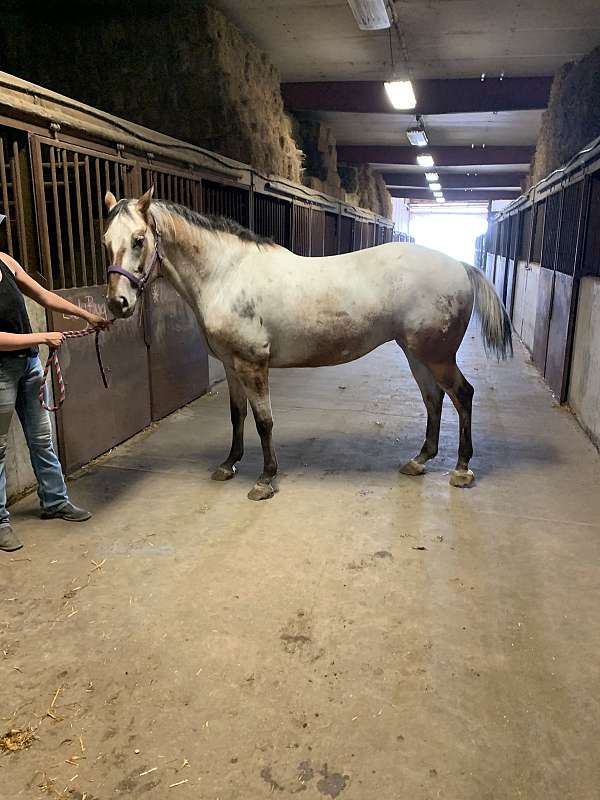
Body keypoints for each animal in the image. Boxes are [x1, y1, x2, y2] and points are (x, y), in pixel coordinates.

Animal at [102, 188, 510, 500]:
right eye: (107, 242)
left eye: (139, 240)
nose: (117, 303)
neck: (226, 274)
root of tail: (459, 266)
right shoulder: (231, 365)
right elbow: (237, 415)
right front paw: (228, 464)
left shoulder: (253, 364)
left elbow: (264, 420)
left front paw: (265, 479)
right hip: (415, 354)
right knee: (433, 399)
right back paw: (419, 460)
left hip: (437, 356)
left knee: (463, 395)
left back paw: (461, 469)